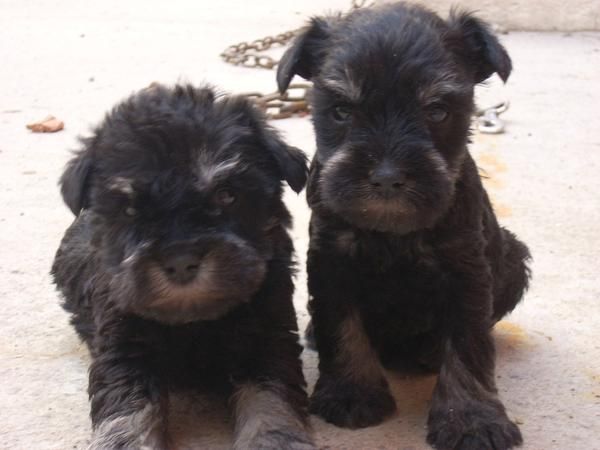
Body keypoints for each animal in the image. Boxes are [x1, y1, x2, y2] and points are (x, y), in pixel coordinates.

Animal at [50, 84, 318, 450]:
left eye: (226, 195)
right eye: (130, 210)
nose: (181, 262)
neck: (193, 321)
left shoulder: (267, 338)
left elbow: (269, 397)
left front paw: (274, 440)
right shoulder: (124, 348)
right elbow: (128, 404)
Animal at [276, 3, 528, 450]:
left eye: (437, 110)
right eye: (341, 111)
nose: (387, 177)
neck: (392, 233)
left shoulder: (466, 271)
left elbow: (468, 343)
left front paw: (472, 419)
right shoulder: (332, 263)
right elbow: (343, 328)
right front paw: (351, 393)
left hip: (514, 257)